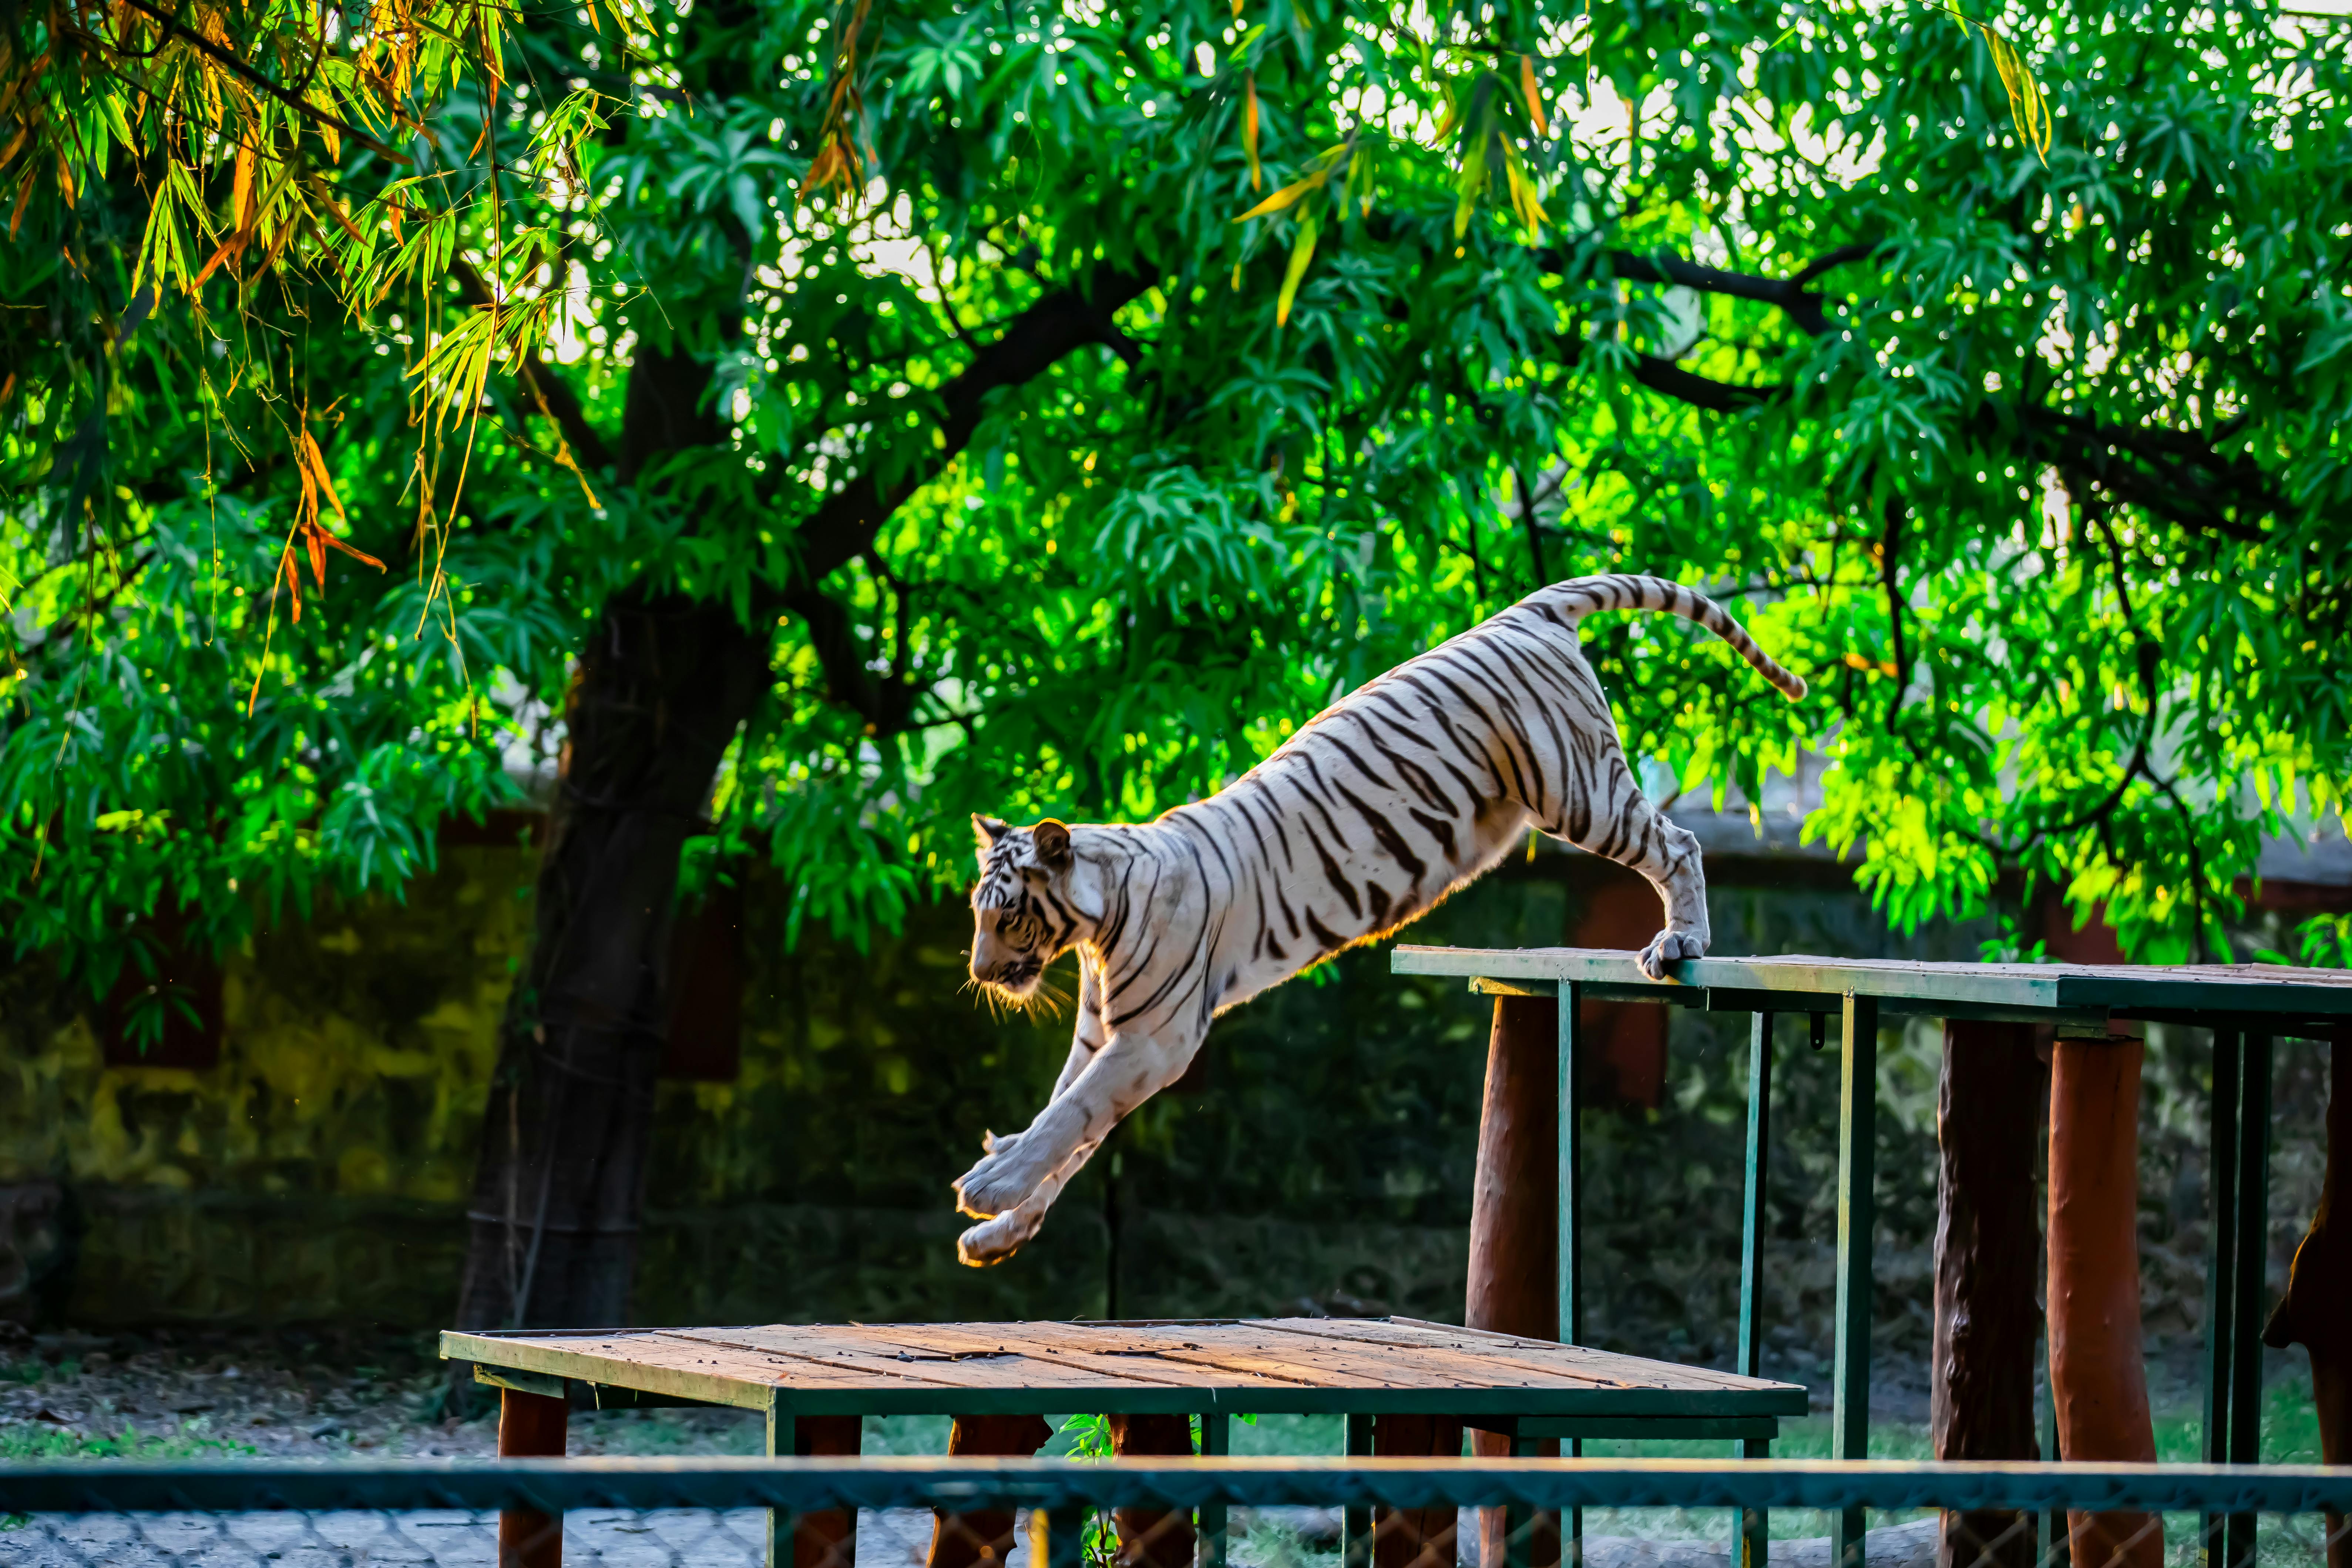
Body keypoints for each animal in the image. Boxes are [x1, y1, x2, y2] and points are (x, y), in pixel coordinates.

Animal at [954, 573, 1805, 1266]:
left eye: (1010, 918)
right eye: (978, 917)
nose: (979, 973)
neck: (1094, 928)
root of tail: (1526, 610)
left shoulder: (1152, 1042)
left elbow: (1071, 1117)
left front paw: (988, 1185)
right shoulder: (1101, 1037)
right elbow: (1066, 1129)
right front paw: (1000, 1225)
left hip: (1578, 788)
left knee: (1679, 842)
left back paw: (1681, 939)